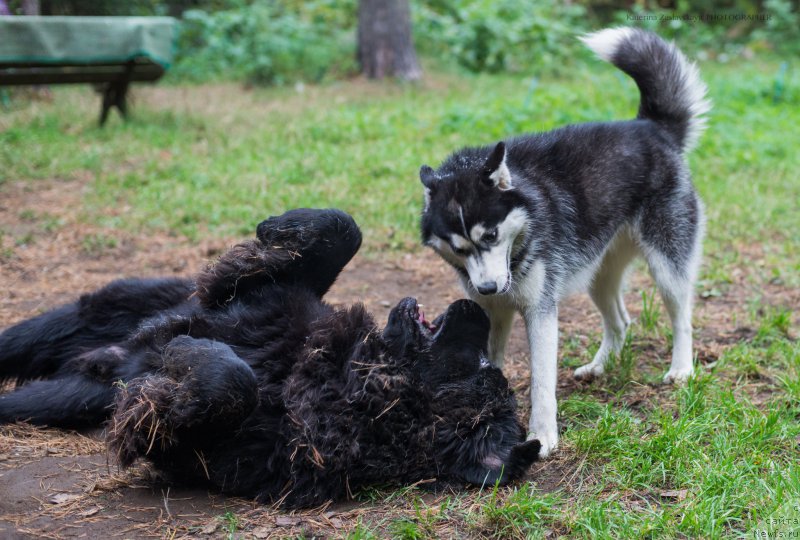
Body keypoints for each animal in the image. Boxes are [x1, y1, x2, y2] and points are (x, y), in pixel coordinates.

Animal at [0, 209, 540, 508]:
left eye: (482, 369)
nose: (480, 305)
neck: (345, 373)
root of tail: (96, 362)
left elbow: (232, 380)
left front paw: (184, 354)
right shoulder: (265, 297)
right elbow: (342, 229)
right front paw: (276, 231)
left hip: (60, 396)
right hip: (100, 310)